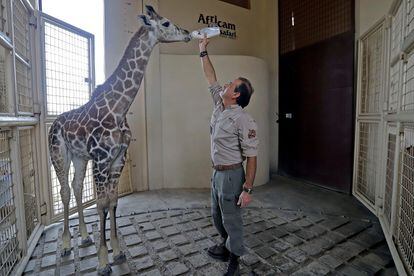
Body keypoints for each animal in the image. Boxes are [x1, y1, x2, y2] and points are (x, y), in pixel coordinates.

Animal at [47, 5, 190, 274]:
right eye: (166, 23)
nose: (187, 33)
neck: (119, 109)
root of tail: (53, 124)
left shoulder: (118, 159)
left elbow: (113, 201)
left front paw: (118, 251)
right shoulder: (101, 159)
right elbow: (101, 203)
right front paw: (104, 261)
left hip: (79, 157)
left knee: (76, 186)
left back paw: (84, 237)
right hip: (59, 155)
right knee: (64, 190)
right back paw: (66, 244)